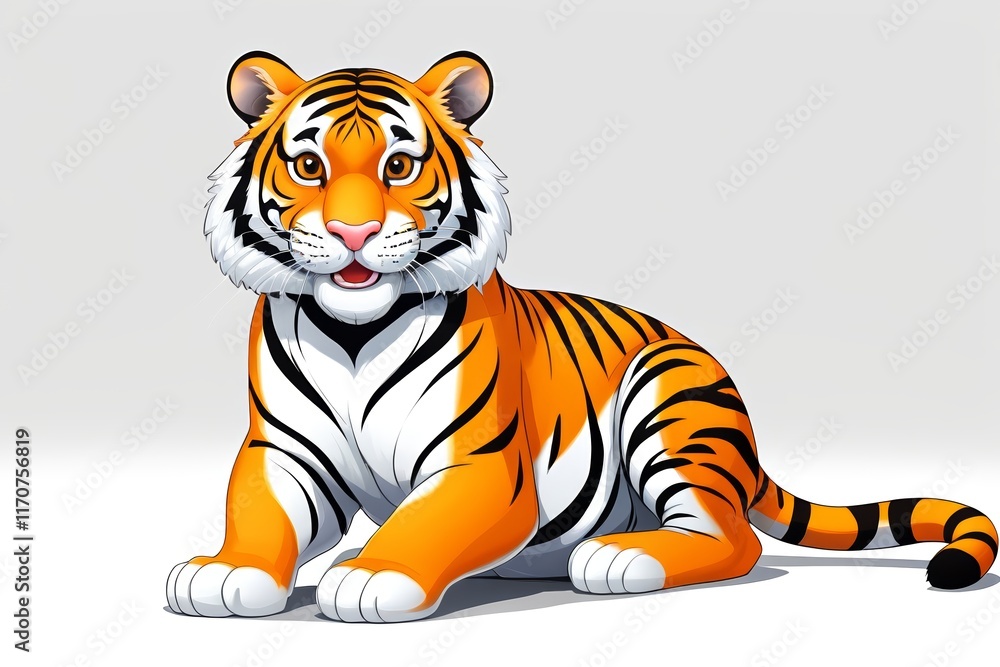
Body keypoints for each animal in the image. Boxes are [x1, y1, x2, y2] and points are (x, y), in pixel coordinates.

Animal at [166, 50, 998, 623]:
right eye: (309, 165)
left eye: (399, 165)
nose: (353, 233)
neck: (351, 328)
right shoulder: (282, 450)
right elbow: (258, 513)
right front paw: (223, 570)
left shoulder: (481, 465)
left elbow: (426, 521)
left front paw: (373, 574)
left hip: (667, 399)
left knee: (735, 538)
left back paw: (621, 556)